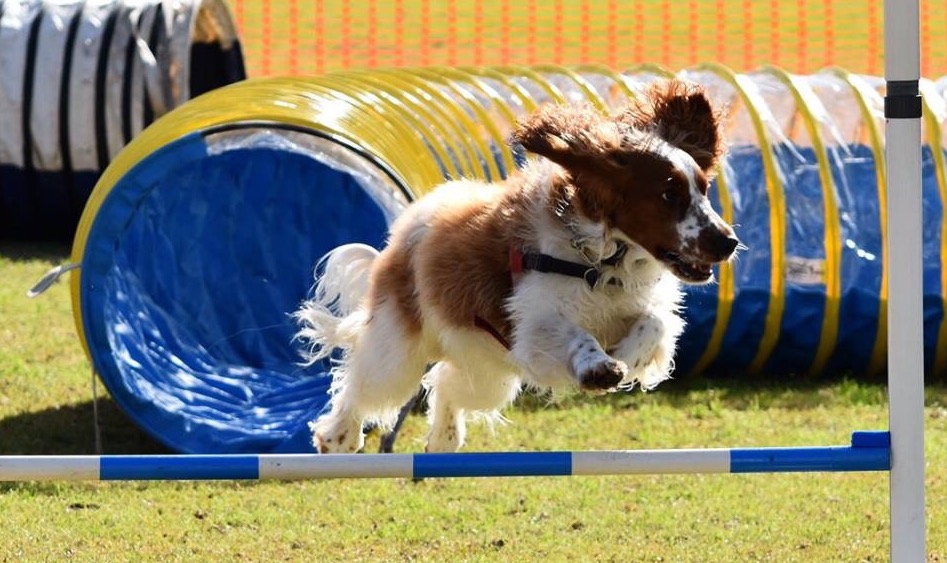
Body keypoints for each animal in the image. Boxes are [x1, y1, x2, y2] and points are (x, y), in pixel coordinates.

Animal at [294, 79, 739, 454]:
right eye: (668, 194)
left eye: (704, 189)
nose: (728, 242)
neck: (601, 260)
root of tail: (401, 237)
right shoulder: (534, 323)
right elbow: (574, 334)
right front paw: (599, 366)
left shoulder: (633, 306)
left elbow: (655, 325)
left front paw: (626, 355)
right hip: (400, 350)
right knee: (363, 383)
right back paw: (337, 436)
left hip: (487, 368)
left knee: (447, 382)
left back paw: (443, 438)